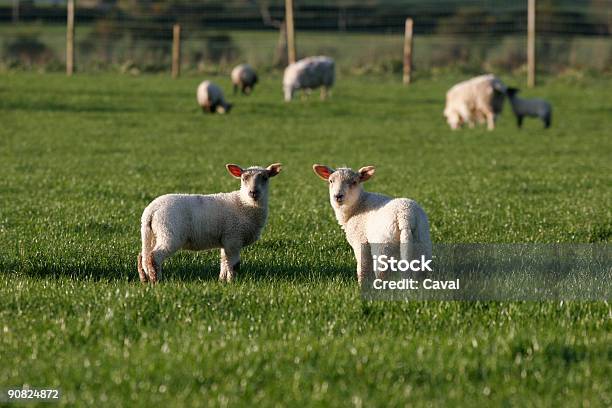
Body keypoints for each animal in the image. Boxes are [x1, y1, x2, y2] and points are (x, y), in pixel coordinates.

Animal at [137, 163, 282, 284]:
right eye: (243, 178)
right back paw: (156, 281)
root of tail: (151, 210)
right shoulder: (233, 238)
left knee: (143, 256)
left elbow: (224, 262)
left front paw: (222, 281)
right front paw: (232, 281)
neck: (244, 204)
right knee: (154, 256)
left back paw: (145, 279)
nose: (253, 192)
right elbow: (233, 264)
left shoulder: (226, 240)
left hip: (154, 233)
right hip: (169, 233)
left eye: (265, 178)